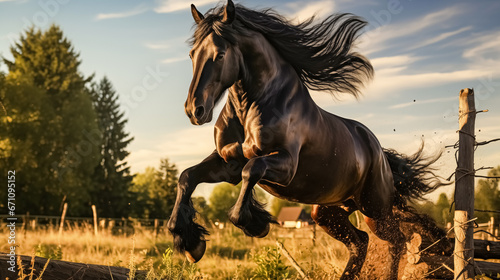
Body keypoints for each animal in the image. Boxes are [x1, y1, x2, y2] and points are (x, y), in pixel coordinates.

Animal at [168, 1, 446, 278]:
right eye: (192, 54)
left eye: (220, 54)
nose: (195, 111)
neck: (252, 108)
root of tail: (380, 154)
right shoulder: (229, 163)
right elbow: (187, 177)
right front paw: (189, 242)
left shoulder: (284, 165)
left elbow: (252, 171)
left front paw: (257, 225)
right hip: (327, 212)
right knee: (360, 241)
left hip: (375, 209)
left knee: (396, 240)